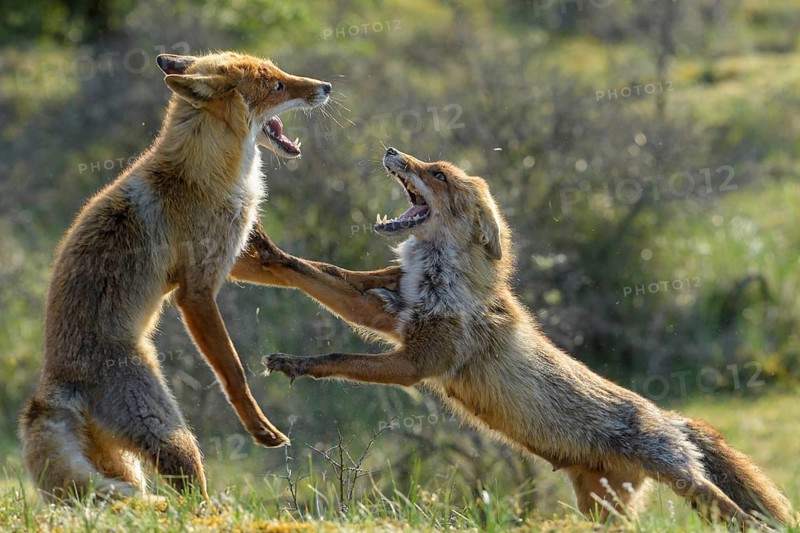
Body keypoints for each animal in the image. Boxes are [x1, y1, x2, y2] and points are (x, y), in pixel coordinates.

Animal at [18, 51, 332, 502]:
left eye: (279, 73)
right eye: (277, 86)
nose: (326, 87)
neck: (206, 175)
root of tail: (51, 387)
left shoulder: (228, 256)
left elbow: (294, 269)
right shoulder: (195, 290)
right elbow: (233, 371)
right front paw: (259, 427)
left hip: (123, 466)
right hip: (173, 438)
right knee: (188, 493)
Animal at [254, 147, 793, 527]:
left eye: (438, 174)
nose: (390, 149)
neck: (439, 278)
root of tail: (669, 416)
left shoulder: (418, 361)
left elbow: (339, 355)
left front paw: (300, 363)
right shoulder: (387, 311)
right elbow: (316, 273)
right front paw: (270, 251)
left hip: (686, 487)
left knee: (746, 518)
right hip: (602, 508)